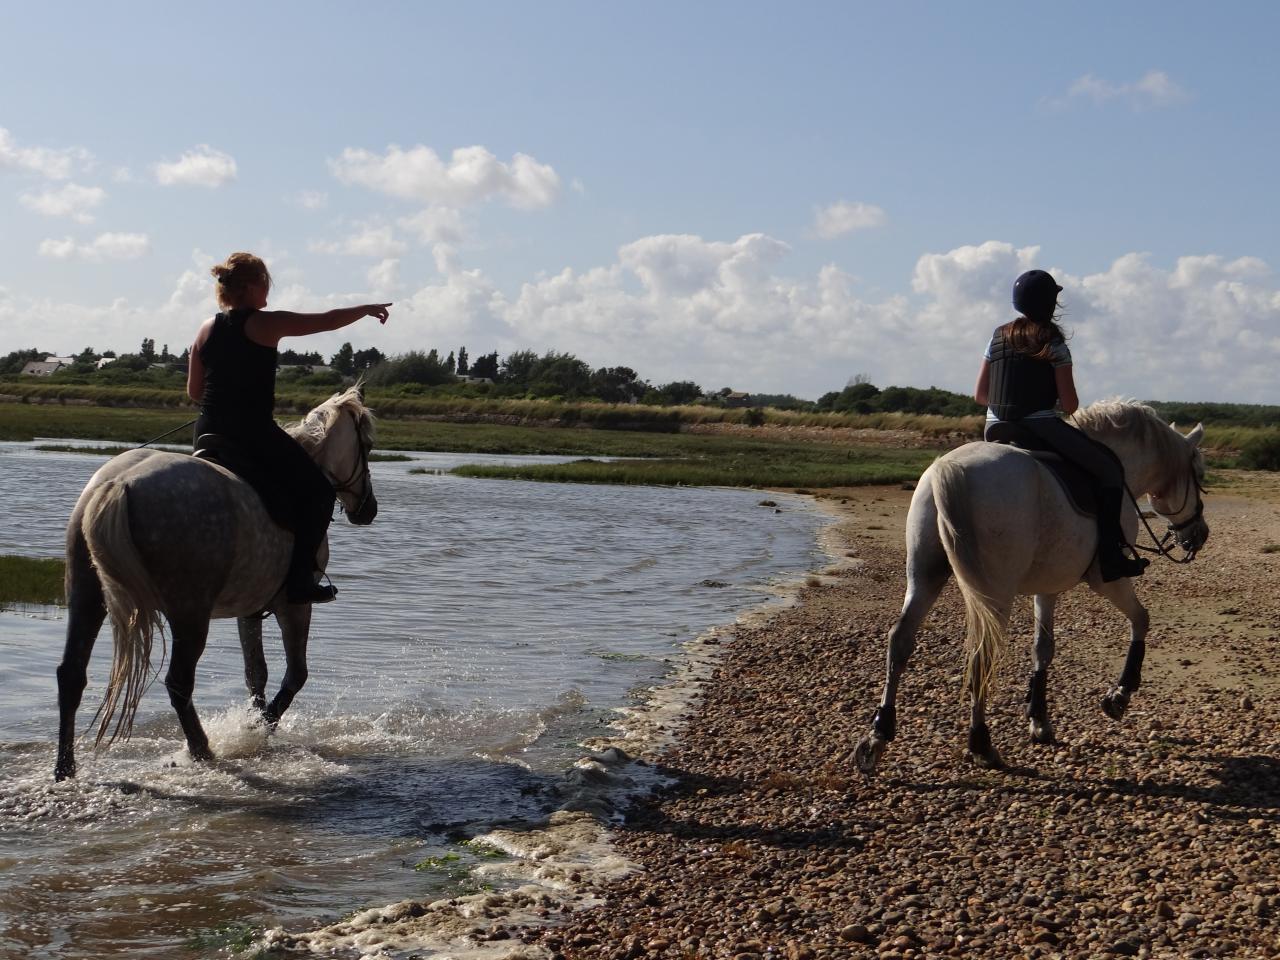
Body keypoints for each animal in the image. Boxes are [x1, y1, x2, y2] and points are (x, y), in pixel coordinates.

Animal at [56, 386, 373, 783]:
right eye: (368, 445)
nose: (368, 509)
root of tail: (119, 484)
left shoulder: (249, 608)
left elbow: (256, 674)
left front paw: (255, 723)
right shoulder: (295, 604)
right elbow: (296, 674)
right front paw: (260, 728)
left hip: (87, 598)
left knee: (71, 675)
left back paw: (64, 768)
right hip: (190, 614)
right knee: (178, 682)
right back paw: (201, 750)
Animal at [855, 399, 1203, 773]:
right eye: (1200, 475)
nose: (1199, 535)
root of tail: (949, 468)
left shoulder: (1047, 588)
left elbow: (1043, 649)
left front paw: (1039, 720)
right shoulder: (1107, 579)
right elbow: (1141, 619)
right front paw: (1119, 695)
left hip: (924, 578)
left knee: (901, 640)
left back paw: (877, 736)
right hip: (994, 591)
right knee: (982, 654)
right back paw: (981, 744)